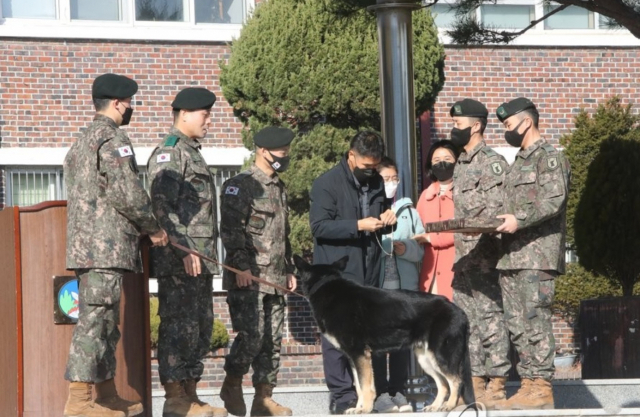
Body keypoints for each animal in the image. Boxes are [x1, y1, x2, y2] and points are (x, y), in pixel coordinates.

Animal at [292, 255, 472, 412]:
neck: (327, 286)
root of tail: (460, 312)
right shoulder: (354, 358)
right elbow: (359, 386)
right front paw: (360, 408)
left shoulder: (359, 355)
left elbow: (365, 386)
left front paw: (364, 409)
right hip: (427, 359)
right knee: (443, 384)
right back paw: (435, 406)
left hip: (441, 356)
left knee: (456, 380)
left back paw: (449, 406)